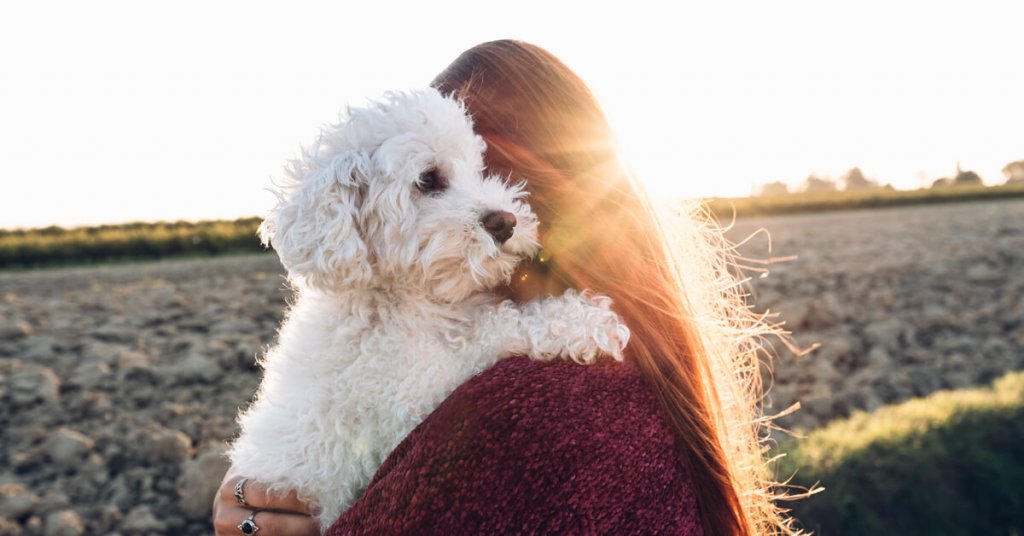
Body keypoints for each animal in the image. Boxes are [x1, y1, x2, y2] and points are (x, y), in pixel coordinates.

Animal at [231, 88, 626, 528]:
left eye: (479, 170)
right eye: (428, 179)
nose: (506, 222)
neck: (406, 300)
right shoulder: (411, 398)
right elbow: (489, 333)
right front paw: (585, 321)